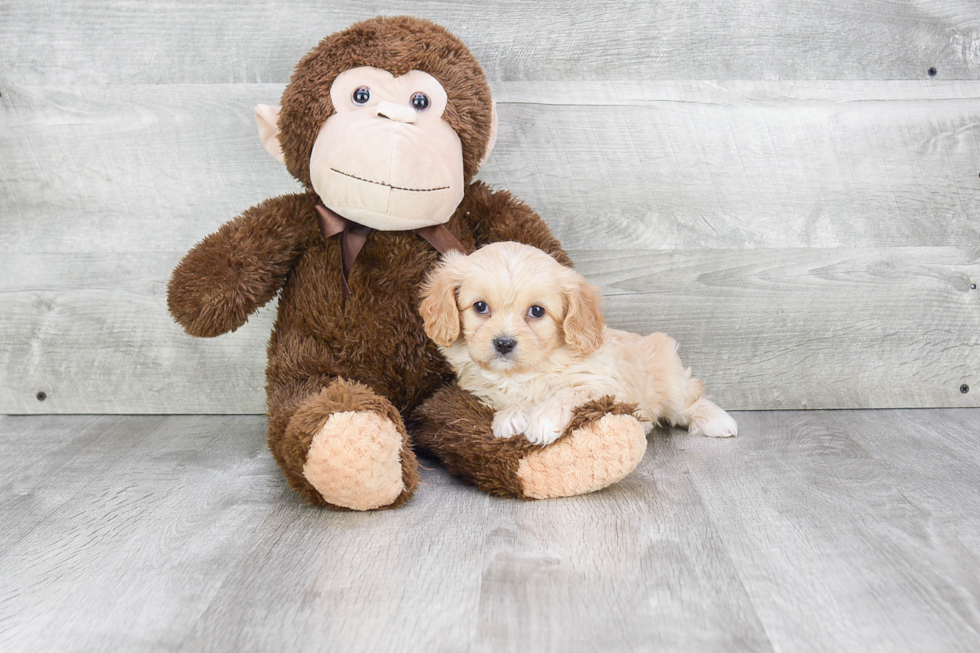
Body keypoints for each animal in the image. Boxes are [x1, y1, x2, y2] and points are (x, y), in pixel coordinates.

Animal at [420, 242, 736, 446]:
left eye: (536, 311)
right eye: (480, 307)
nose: (504, 343)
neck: (527, 371)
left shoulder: (604, 383)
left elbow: (567, 392)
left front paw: (543, 419)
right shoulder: (482, 390)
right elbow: (511, 399)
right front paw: (511, 416)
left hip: (669, 379)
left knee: (689, 399)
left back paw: (718, 420)